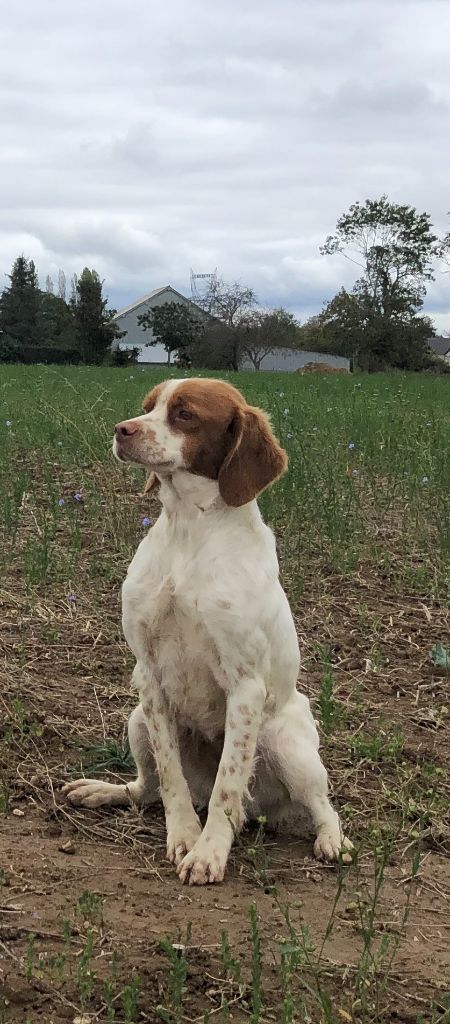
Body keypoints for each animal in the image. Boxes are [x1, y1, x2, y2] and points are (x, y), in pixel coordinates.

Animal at [63, 378, 352, 884]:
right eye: (148, 407)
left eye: (185, 414)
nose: (122, 430)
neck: (190, 530)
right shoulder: (148, 675)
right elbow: (171, 778)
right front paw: (183, 835)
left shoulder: (246, 685)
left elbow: (226, 786)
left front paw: (209, 851)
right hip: (136, 720)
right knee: (146, 788)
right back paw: (103, 790)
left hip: (288, 744)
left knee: (319, 804)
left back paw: (331, 841)